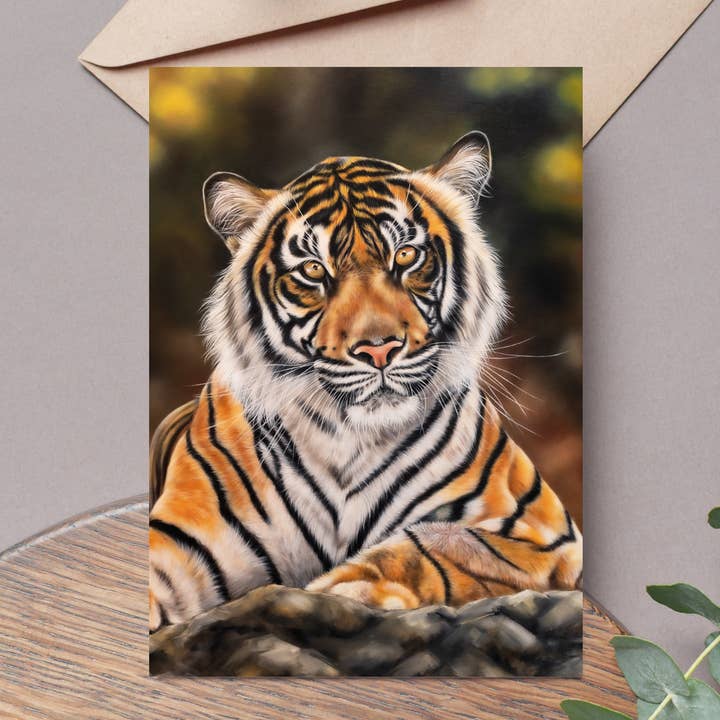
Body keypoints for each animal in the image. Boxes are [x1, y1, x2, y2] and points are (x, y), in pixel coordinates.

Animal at [148, 131, 582, 632]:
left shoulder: (543, 531)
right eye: (313, 270)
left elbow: (437, 542)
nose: (379, 350)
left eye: (406, 256)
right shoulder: (177, 542)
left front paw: (342, 589)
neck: (349, 440)